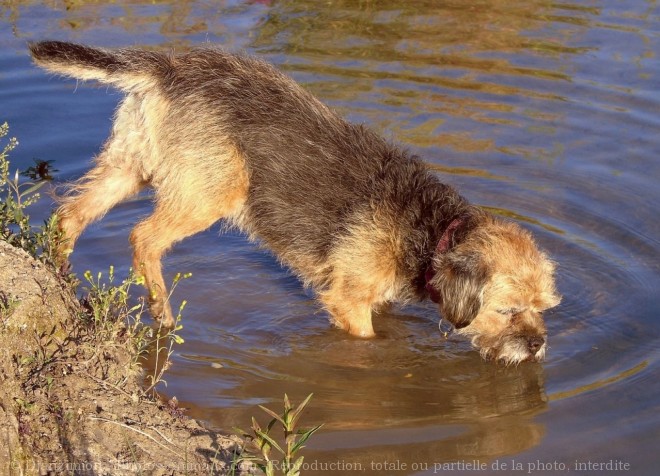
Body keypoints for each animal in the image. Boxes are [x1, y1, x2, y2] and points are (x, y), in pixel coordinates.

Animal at [28, 41, 560, 366]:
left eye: (543, 308)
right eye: (508, 310)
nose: (537, 345)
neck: (430, 230)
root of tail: (167, 67)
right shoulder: (349, 302)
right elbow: (365, 339)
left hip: (127, 169)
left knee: (69, 215)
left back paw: (61, 276)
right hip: (210, 193)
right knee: (143, 237)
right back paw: (163, 312)